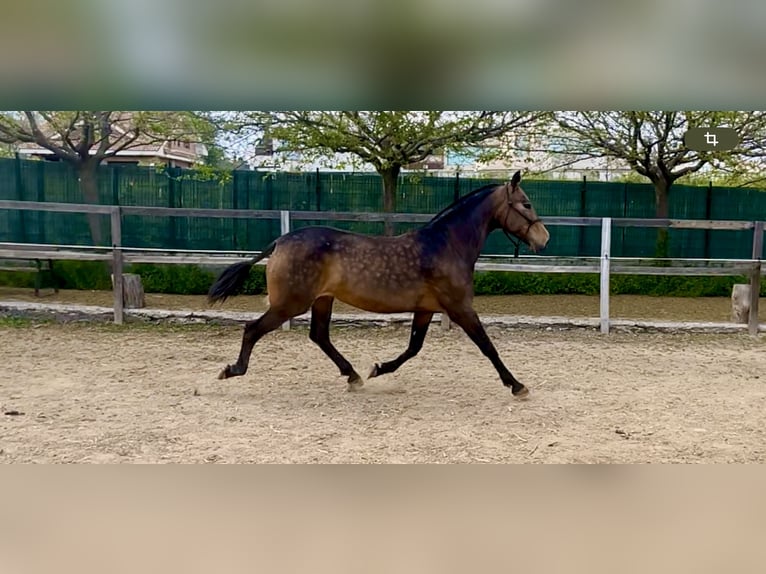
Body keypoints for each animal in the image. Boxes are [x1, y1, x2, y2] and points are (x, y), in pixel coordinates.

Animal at [208, 170, 550, 398]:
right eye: (526, 203)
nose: (544, 238)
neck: (446, 245)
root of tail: (279, 241)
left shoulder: (426, 309)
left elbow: (413, 348)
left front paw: (378, 368)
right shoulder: (460, 308)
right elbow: (487, 346)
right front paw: (517, 385)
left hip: (322, 300)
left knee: (319, 336)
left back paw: (354, 376)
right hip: (290, 303)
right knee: (253, 329)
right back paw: (230, 370)